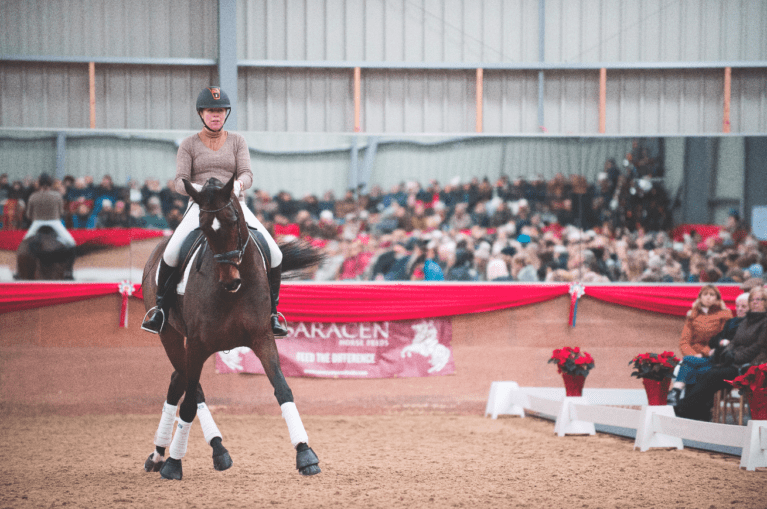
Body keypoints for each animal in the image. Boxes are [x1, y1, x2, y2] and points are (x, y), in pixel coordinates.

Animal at [142, 176, 322, 480]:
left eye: (234, 220)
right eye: (203, 227)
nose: (230, 280)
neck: (233, 292)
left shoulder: (263, 338)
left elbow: (283, 389)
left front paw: (305, 454)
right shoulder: (198, 345)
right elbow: (190, 402)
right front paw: (174, 464)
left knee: (178, 380)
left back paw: (172, 452)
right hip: (170, 335)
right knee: (189, 387)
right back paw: (185, 452)